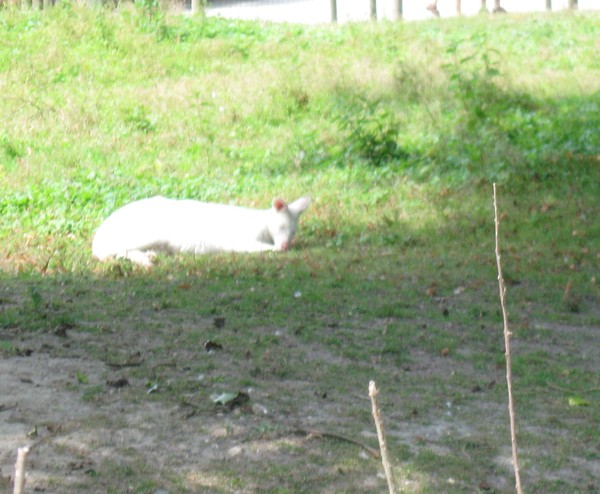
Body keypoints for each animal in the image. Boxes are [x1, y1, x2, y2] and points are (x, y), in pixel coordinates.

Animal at [92, 196, 314, 266]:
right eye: (281, 227)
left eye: (293, 232)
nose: (285, 246)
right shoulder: (240, 240)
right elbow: (257, 247)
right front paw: (275, 250)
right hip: (149, 231)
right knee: (118, 250)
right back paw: (146, 261)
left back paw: (151, 257)